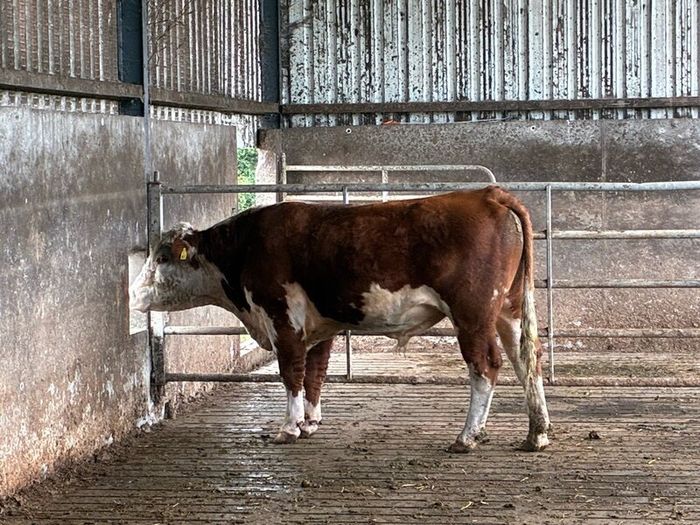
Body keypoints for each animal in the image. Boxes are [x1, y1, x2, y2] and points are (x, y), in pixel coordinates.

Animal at [130, 187, 551, 452]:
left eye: (163, 256)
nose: (133, 295)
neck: (244, 248)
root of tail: (486, 194)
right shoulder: (320, 326)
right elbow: (315, 373)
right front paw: (310, 423)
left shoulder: (282, 319)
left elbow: (291, 373)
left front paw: (288, 428)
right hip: (508, 310)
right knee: (527, 359)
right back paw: (537, 433)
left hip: (472, 313)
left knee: (486, 366)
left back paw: (467, 437)